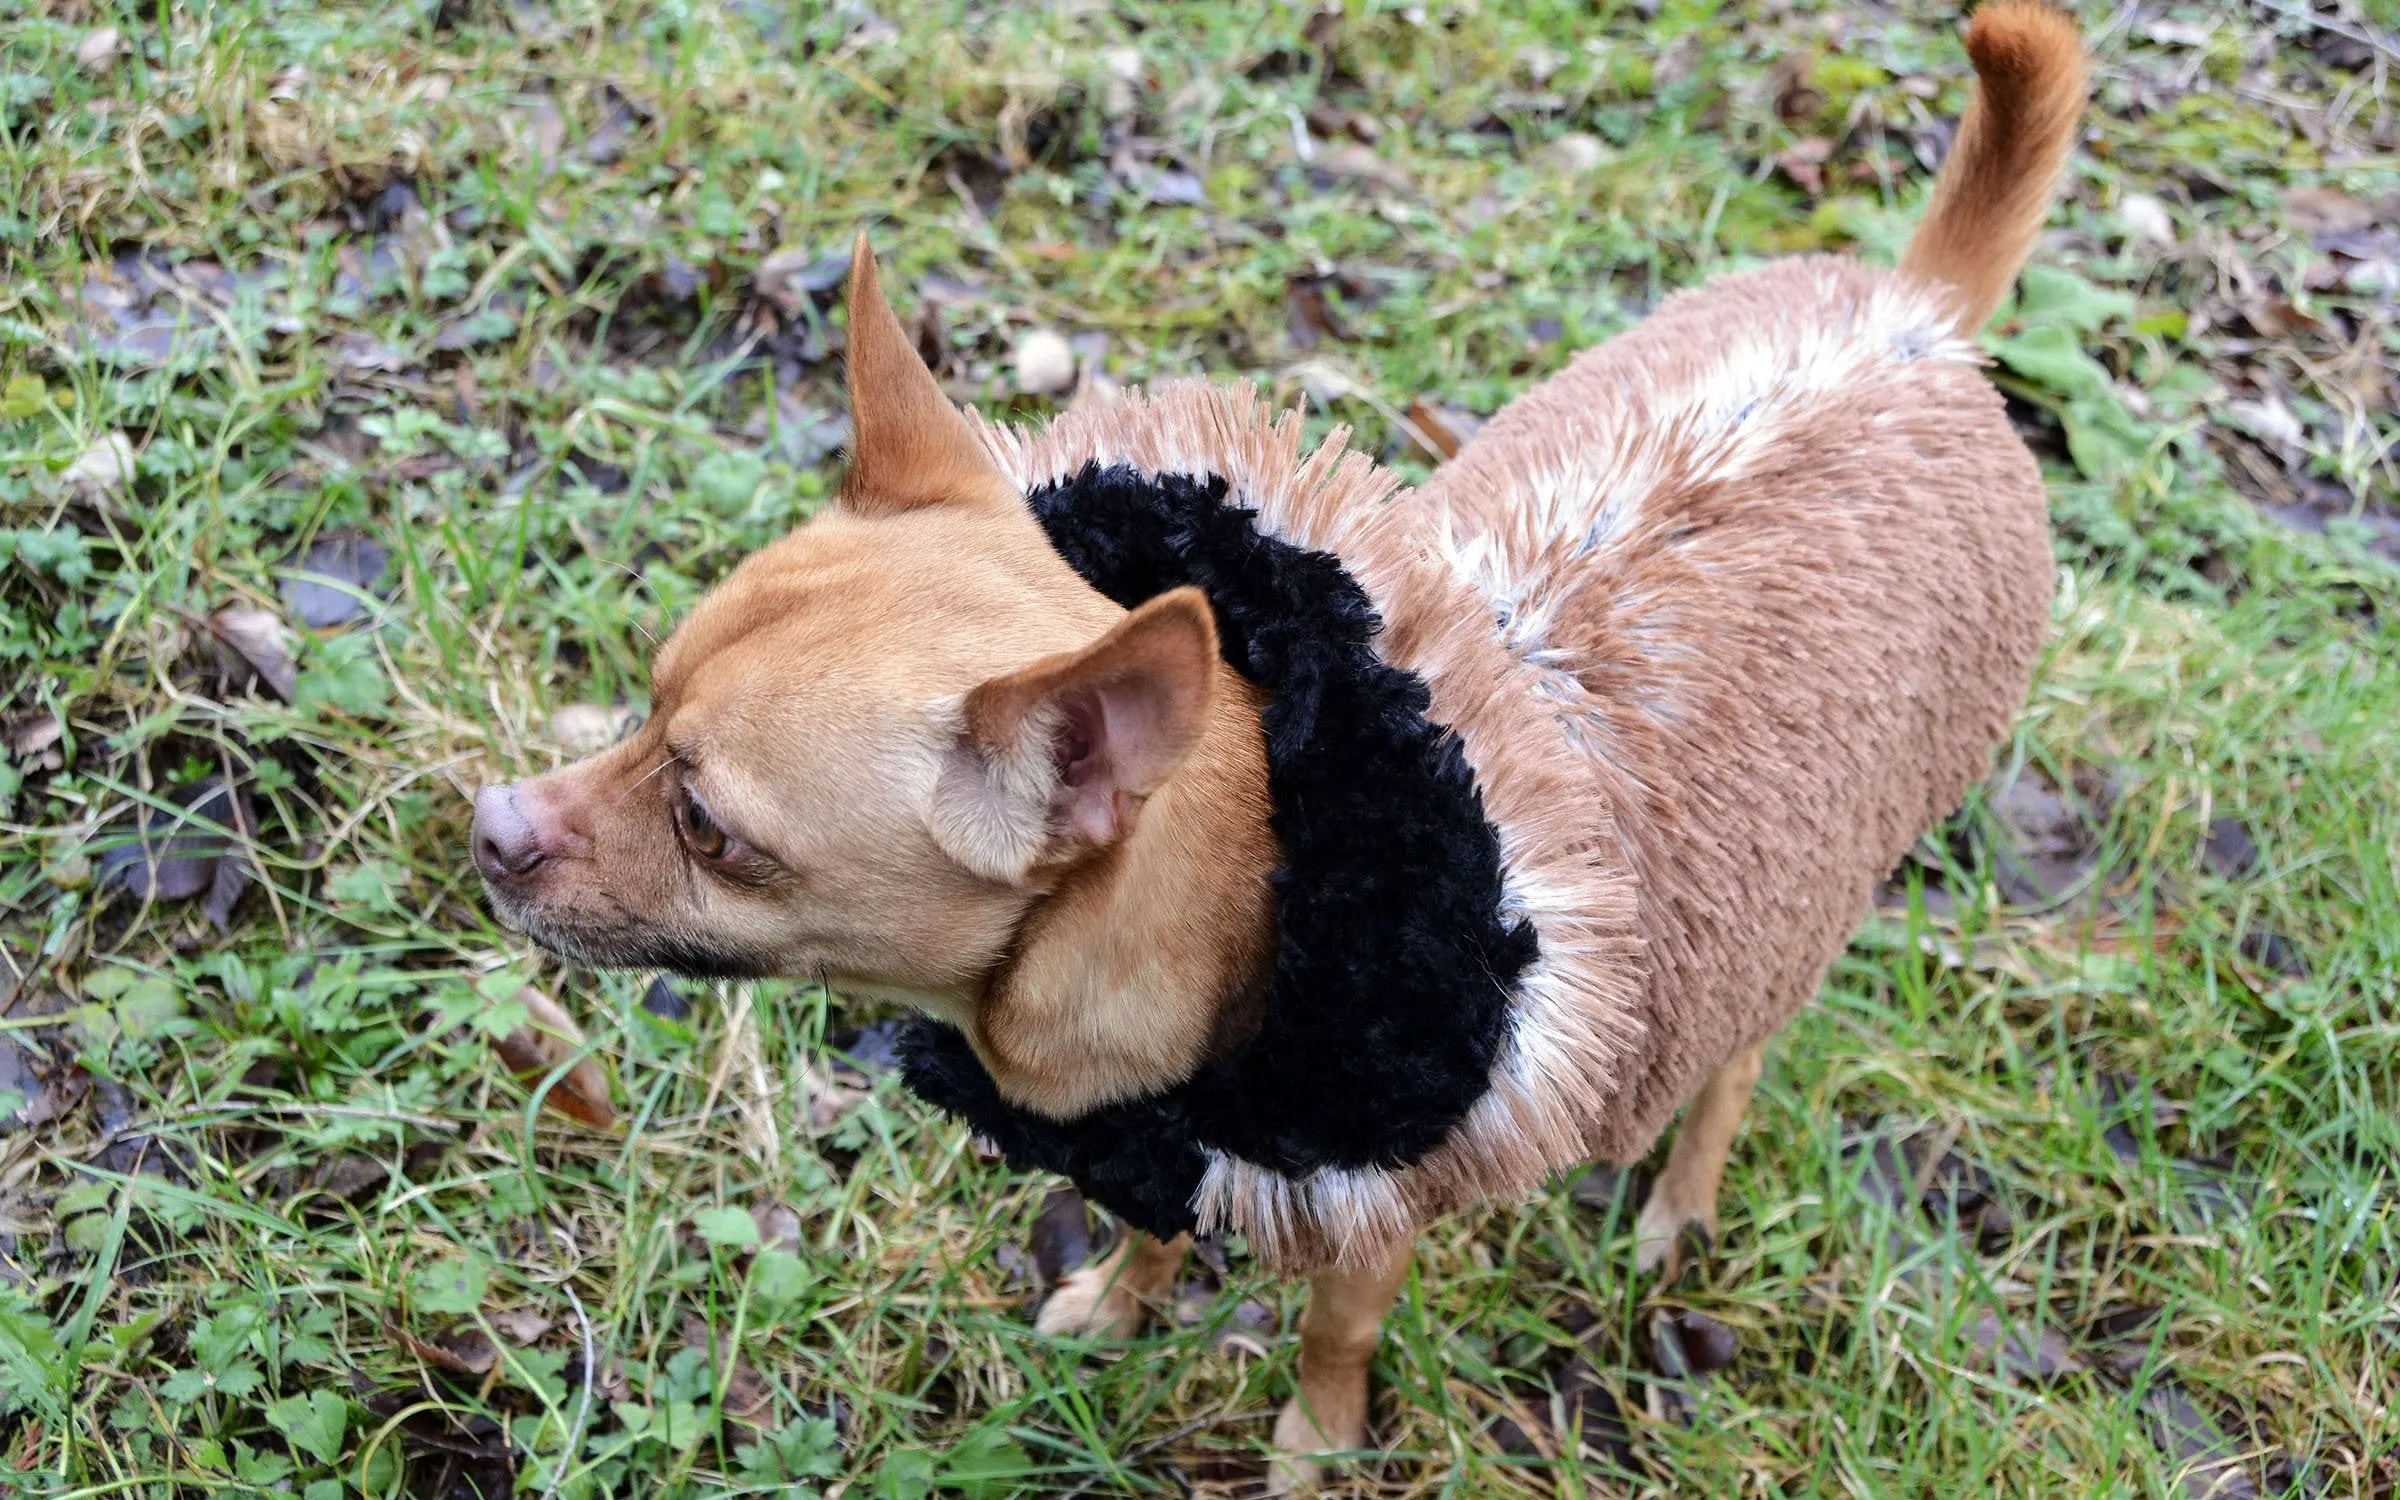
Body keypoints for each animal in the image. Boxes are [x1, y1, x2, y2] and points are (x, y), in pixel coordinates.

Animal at [468, 8, 2083, 1488]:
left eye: (712, 830)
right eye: (641, 703)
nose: (487, 825)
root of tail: (1915, 321)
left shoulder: (1375, 1198)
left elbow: (1334, 1335)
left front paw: (1312, 1444)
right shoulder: (1165, 1137)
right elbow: (1152, 1224)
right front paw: (1120, 1302)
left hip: (1793, 903)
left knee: (1737, 1064)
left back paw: (1679, 1200)